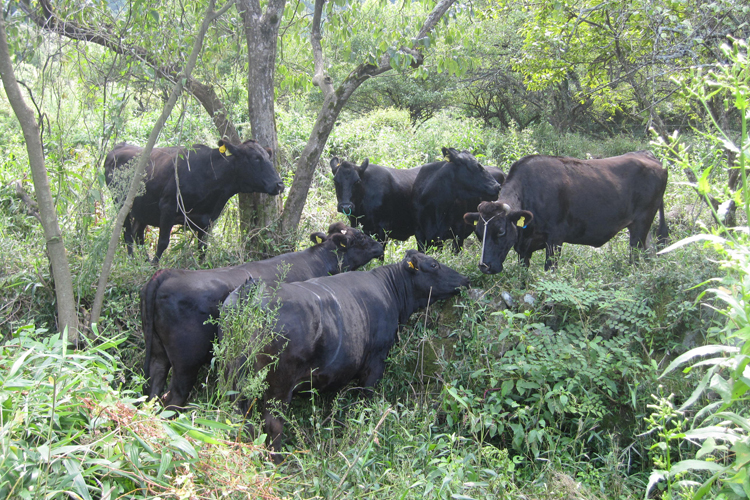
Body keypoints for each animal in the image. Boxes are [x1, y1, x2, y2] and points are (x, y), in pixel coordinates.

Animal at [103, 140, 284, 262]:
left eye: (268, 157)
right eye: (255, 158)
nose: (280, 184)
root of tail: (118, 147)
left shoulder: (208, 218)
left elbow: (202, 248)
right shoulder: (168, 207)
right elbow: (163, 242)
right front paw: (154, 267)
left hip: (143, 209)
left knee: (137, 234)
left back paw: (144, 261)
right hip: (121, 202)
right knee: (127, 234)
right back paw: (133, 261)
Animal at [139, 224, 384, 410]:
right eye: (360, 237)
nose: (381, 246)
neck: (321, 261)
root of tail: (168, 273)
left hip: (159, 354)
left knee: (154, 387)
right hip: (186, 363)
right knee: (174, 397)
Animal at [223, 248, 470, 456]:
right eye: (434, 264)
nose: (465, 279)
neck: (390, 290)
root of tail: (252, 290)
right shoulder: (375, 362)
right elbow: (365, 400)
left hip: (234, 379)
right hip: (279, 385)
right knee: (273, 423)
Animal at [464, 151, 668, 274]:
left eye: (501, 231)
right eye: (478, 233)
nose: (485, 266)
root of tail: (648, 155)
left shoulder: (555, 239)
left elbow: (550, 271)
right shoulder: (524, 247)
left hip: (641, 223)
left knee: (635, 255)